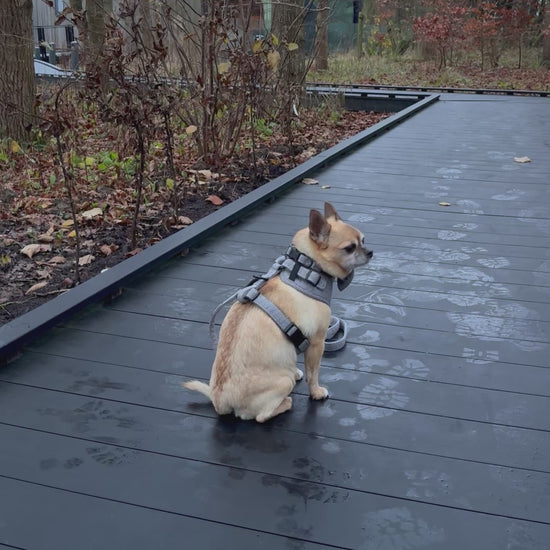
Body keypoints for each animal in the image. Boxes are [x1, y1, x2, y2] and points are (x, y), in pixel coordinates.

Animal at [187, 205, 376, 424]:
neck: (308, 267)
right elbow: (314, 373)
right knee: (261, 416)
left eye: (363, 240)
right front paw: (316, 392)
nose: (370, 252)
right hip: (283, 383)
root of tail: (219, 400)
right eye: (349, 248)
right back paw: (285, 403)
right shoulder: (317, 343)